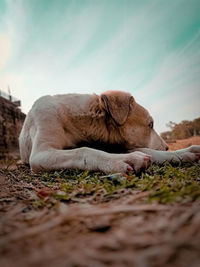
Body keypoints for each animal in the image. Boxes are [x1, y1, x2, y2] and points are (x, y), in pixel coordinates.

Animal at [19, 90, 200, 174]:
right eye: (150, 124)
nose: (167, 147)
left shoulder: (115, 145)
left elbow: (149, 152)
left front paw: (181, 153)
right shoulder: (41, 153)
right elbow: (84, 151)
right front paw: (123, 160)